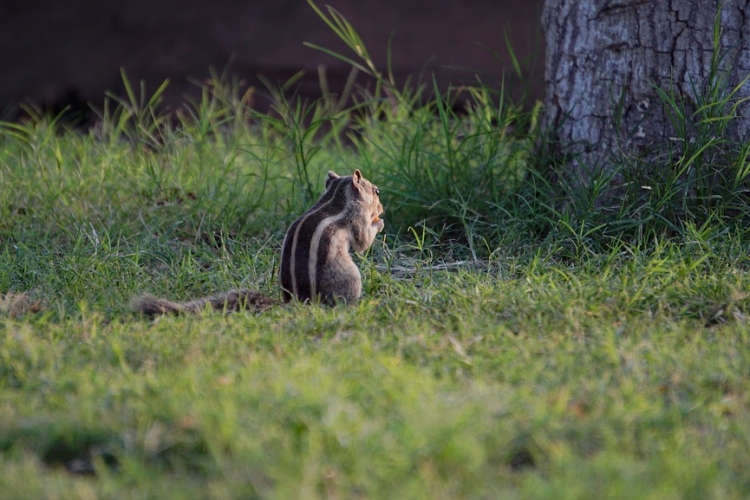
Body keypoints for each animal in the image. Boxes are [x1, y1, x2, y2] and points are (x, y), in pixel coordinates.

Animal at [131, 169, 384, 316]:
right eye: (376, 191)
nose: (381, 209)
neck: (336, 197)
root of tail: (301, 302)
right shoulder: (356, 217)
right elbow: (362, 242)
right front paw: (378, 224)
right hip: (350, 277)